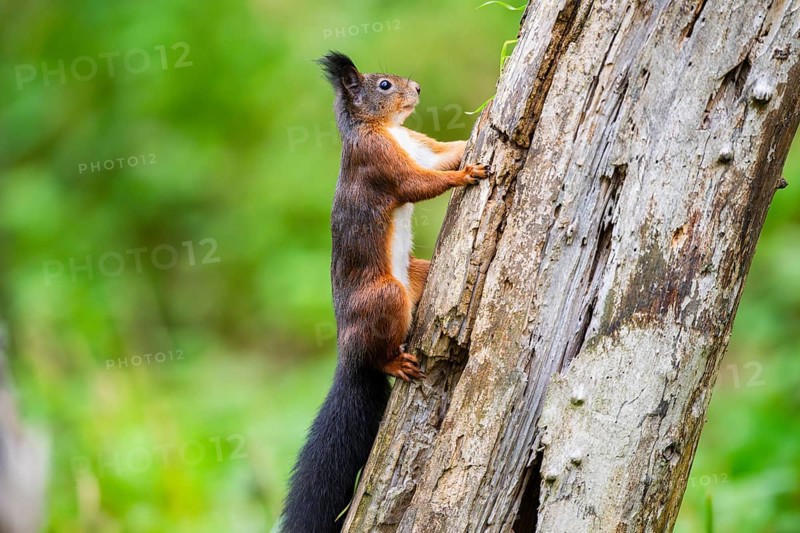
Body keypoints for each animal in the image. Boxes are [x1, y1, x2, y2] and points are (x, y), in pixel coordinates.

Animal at [280, 51, 489, 533]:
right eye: (384, 86)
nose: (418, 89)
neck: (388, 129)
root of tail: (347, 352)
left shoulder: (419, 146)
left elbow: (445, 153)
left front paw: (484, 117)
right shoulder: (378, 162)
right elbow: (419, 184)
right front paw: (466, 174)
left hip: (416, 275)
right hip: (385, 297)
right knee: (377, 354)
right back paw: (394, 362)